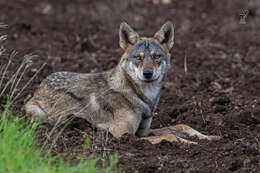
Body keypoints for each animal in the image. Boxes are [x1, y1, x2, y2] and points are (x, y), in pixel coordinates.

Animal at [25, 22, 219, 145]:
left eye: (156, 56)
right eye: (138, 58)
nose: (147, 74)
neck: (142, 97)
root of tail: (40, 85)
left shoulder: (143, 131)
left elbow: (181, 126)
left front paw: (208, 138)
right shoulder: (125, 135)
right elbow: (171, 137)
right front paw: (189, 143)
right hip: (44, 116)